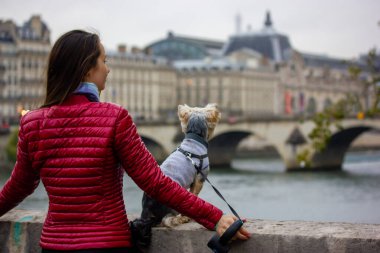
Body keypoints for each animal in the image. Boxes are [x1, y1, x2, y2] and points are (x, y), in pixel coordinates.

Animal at [130, 104, 221, 248]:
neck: (194, 138)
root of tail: (148, 212)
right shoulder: (199, 179)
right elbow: (195, 196)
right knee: (169, 219)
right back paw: (182, 218)